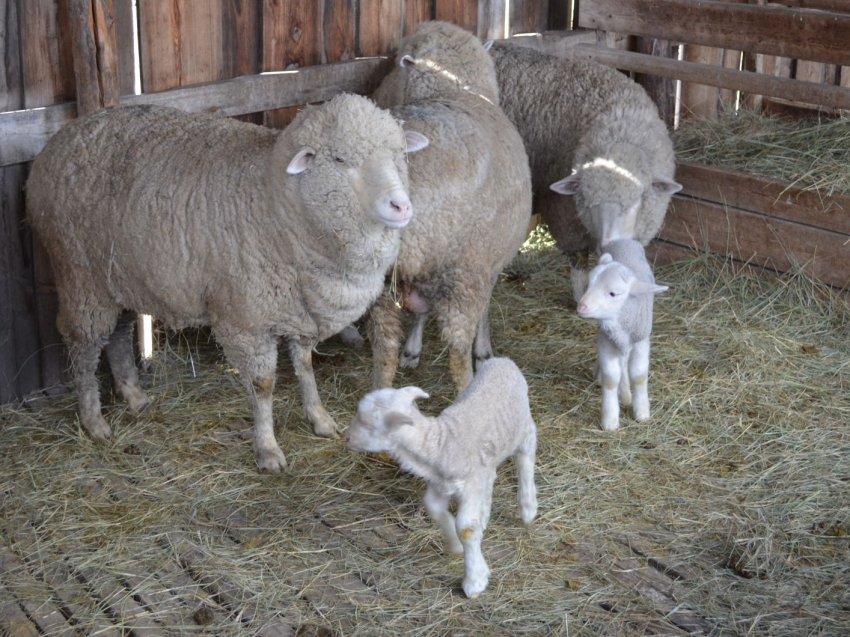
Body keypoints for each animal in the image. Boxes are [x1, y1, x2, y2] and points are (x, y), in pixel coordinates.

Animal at [24, 94, 430, 472]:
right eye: (341, 160)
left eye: (400, 154)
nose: (402, 206)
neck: (275, 202)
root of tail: (63, 137)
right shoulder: (245, 321)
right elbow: (263, 386)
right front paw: (267, 448)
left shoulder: (297, 309)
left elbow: (305, 365)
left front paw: (319, 418)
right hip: (80, 275)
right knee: (84, 342)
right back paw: (94, 421)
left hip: (119, 277)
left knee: (119, 334)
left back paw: (134, 395)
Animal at [344, 356, 536, 600]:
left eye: (369, 426)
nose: (346, 438)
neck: (440, 443)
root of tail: (502, 360)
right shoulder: (441, 483)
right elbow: (434, 509)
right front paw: (455, 545)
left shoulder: (469, 483)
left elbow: (466, 528)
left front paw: (474, 580)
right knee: (491, 476)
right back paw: (486, 513)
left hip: (523, 427)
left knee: (526, 455)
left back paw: (528, 507)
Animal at [366, 22, 528, 390]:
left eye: (396, 62)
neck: (454, 88)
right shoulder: (486, 261)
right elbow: (485, 308)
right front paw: (484, 349)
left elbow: (422, 311)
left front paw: (413, 349)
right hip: (463, 271)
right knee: (456, 349)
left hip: (384, 278)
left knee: (384, 349)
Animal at [576, 238, 668, 432]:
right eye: (588, 285)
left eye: (612, 293)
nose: (581, 306)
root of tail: (623, 239)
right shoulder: (605, 340)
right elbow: (611, 379)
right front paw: (610, 419)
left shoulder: (641, 341)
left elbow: (639, 376)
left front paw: (642, 412)